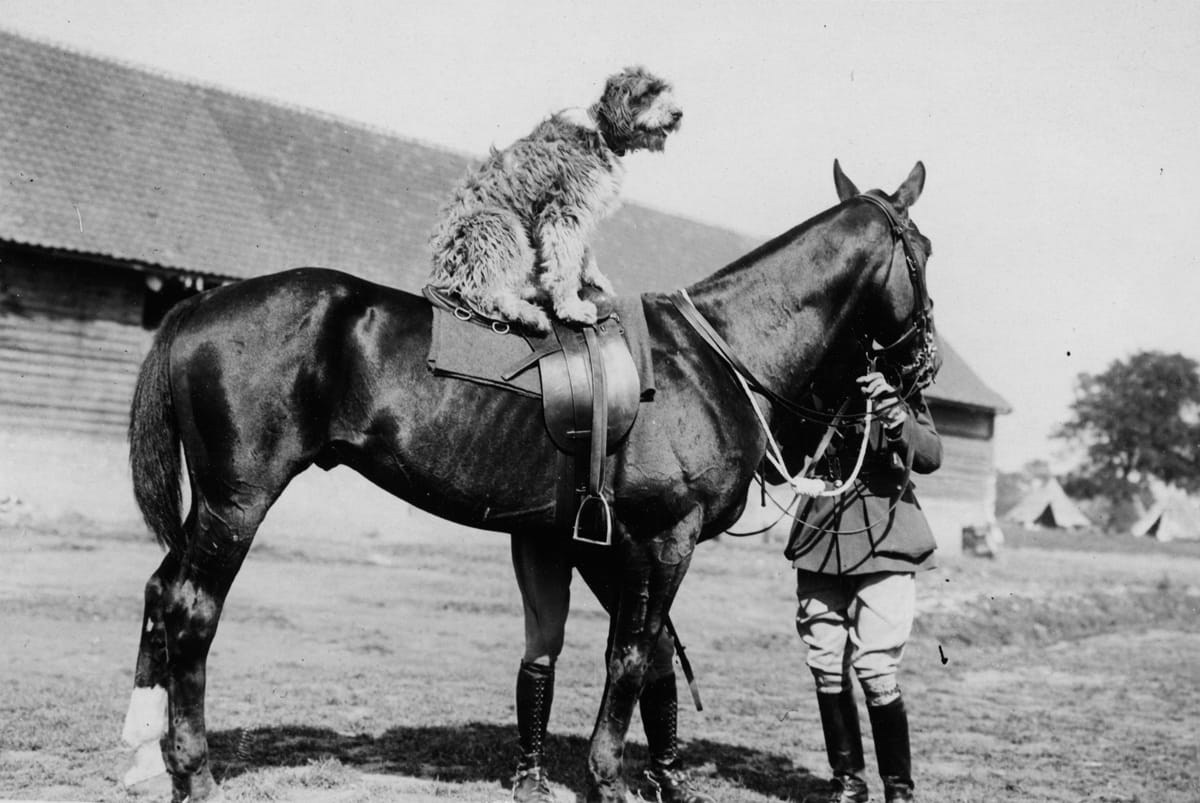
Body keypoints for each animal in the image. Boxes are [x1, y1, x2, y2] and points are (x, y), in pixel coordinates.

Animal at [121, 159, 931, 796]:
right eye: (922, 251)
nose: (923, 370)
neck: (711, 357)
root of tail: (202, 301)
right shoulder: (664, 539)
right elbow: (631, 656)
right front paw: (607, 775)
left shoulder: (609, 545)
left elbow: (651, 657)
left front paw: (661, 776)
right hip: (237, 503)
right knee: (191, 609)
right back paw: (192, 771)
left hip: (210, 507)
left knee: (160, 592)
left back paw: (142, 754)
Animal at [427, 67, 681, 331]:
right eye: (648, 93)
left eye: (665, 91)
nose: (678, 114)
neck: (600, 132)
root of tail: (440, 270)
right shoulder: (564, 212)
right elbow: (565, 264)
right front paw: (572, 308)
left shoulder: (583, 210)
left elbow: (584, 251)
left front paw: (596, 279)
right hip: (499, 225)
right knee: (484, 290)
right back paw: (528, 313)